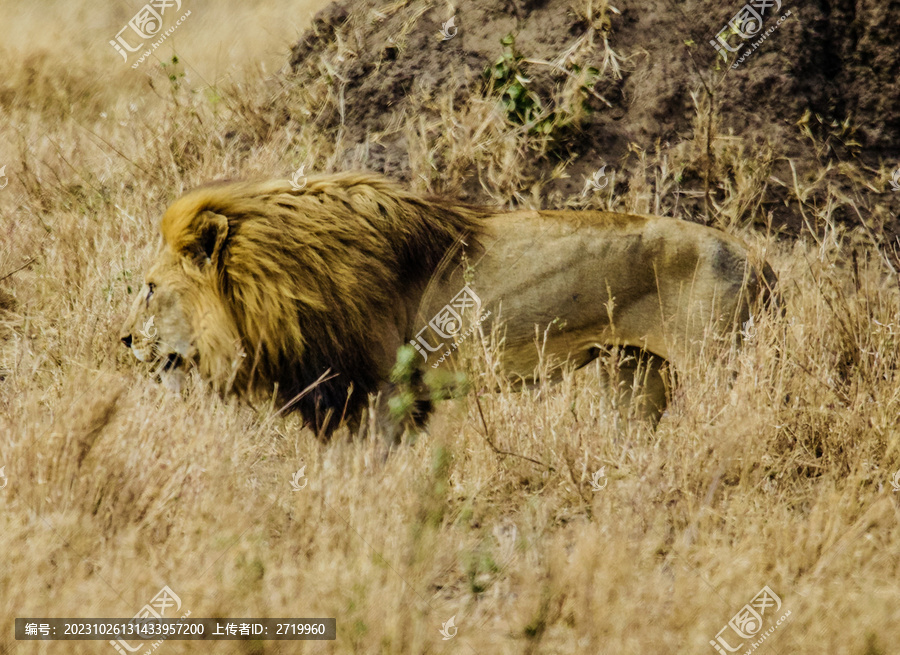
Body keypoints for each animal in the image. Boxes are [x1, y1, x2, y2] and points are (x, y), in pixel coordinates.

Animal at [119, 174, 776, 438]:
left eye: (149, 287)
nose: (124, 341)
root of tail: (756, 258)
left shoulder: (382, 388)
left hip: (718, 364)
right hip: (634, 371)